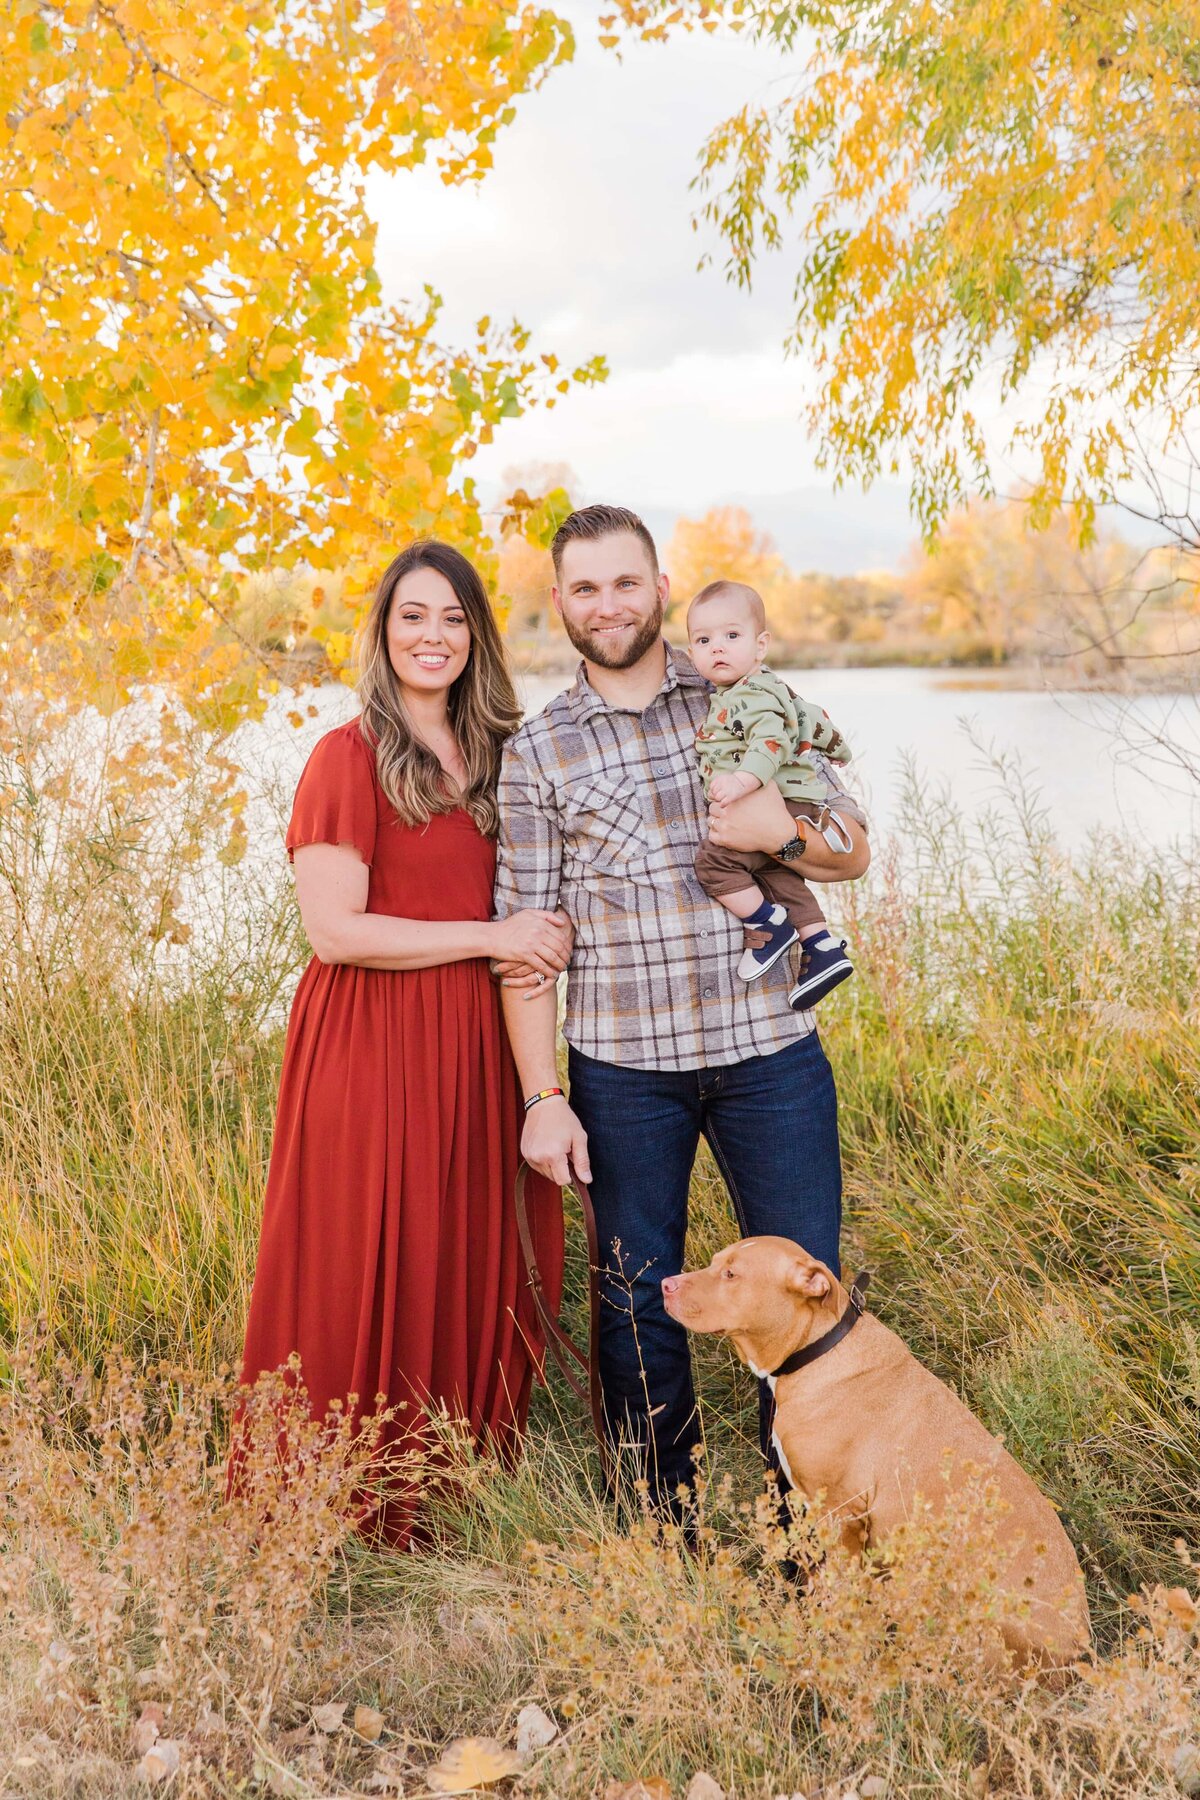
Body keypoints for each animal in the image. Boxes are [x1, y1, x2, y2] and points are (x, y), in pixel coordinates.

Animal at [662, 1238, 1093, 1670]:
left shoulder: (841, 1514)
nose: (666, 1284)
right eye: (716, 1263)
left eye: (731, 1274)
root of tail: (1077, 1649)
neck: (817, 1350)